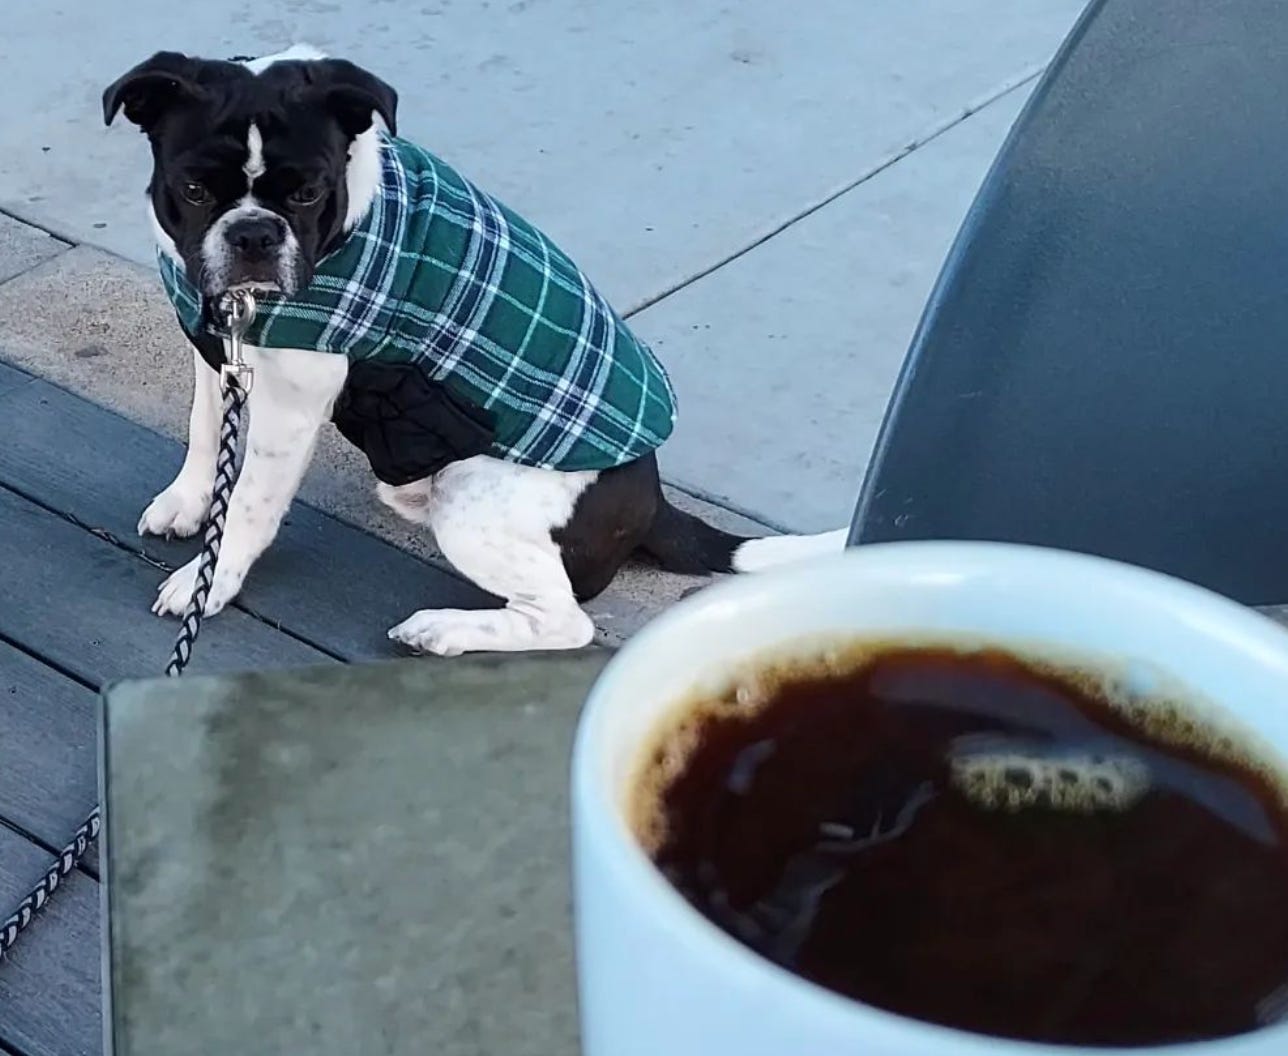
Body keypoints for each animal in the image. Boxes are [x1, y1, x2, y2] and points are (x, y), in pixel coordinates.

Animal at [100, 45, 844, 656]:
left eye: (309, 192)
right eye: (194, 189)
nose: (254, 234)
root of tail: (654, 505)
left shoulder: (293, 404)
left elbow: (251, 501)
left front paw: (212, 577)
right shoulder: (219, 348)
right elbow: (206, 431)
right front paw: (190, 502)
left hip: (472, 494)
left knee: (565, 620)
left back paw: (443, 630)